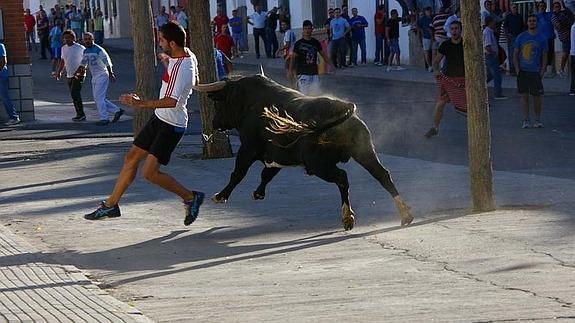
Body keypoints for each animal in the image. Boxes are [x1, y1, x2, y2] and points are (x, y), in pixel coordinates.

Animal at [196, 75, 416, 230]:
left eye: (218, 103)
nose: (215, 123)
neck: (248, 102)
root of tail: (341, 108)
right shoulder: (278, 155)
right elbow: (267, 174)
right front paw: (258, 193)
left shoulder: (248, 148)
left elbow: (238, 173)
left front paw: (220, 196)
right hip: (364, 151)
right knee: (382, 175)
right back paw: (405, 214)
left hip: (318, 164)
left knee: (342, 178)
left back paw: (348, 217)